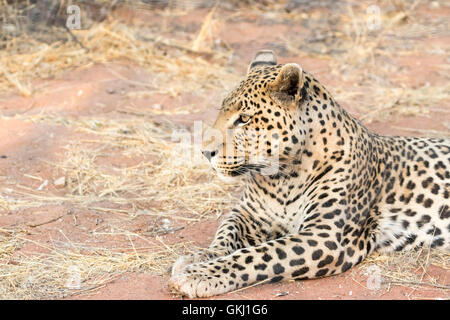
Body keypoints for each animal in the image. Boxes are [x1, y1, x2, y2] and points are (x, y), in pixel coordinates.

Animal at [169, 49, 450, 298]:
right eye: (222, 111)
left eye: (245, 119)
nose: (205, 152)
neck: (281, 177)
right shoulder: (248, 214)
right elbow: (225, 234)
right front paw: (197, 258)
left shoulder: (326, 235)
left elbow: (258, 254)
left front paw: (199, 274)